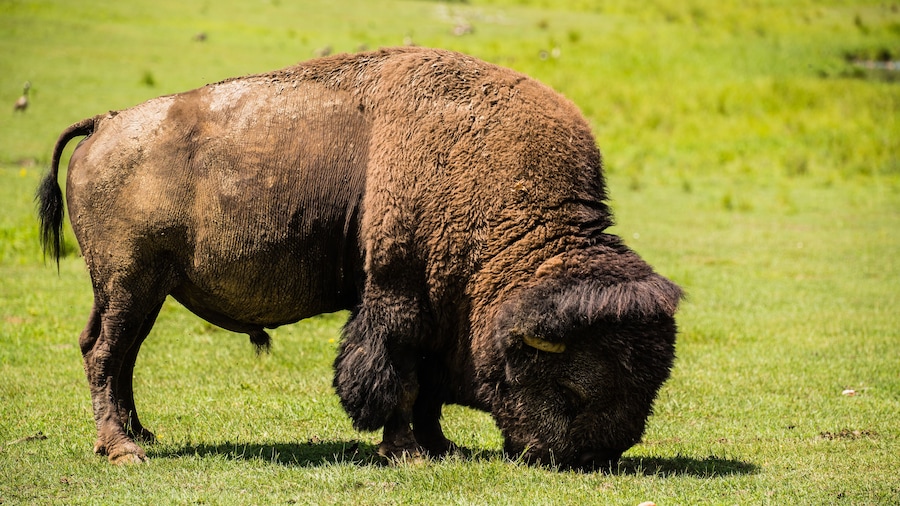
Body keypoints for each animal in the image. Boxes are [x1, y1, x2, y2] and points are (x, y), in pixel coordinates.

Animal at [38, 47, 682, 470]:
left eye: (652, 382)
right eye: (575, 388)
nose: (596, 456)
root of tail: (106, 124)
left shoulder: (435, 311)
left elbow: (425, 387)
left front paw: (440, 447)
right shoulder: (398, 297)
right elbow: (396, 377)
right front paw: (409, 454)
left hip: (139, 291)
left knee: (116, 354)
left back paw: (142, 435)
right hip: (130, 282)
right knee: (105, 354)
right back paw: (123, 450)